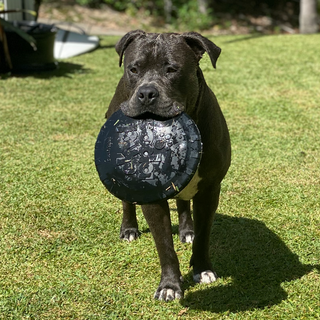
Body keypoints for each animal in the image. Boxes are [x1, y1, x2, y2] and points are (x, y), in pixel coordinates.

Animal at [106, 29, 231, 300]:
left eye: (172, 69)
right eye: (134, 69)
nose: (146, 93)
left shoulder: (209, 190)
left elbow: (204, 234)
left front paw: (202, 269)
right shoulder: (152, 200)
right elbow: (164, 245)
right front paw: (170, 285)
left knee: (183, 202)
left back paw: (186, 230)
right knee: (126, 201)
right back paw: (129, 228)